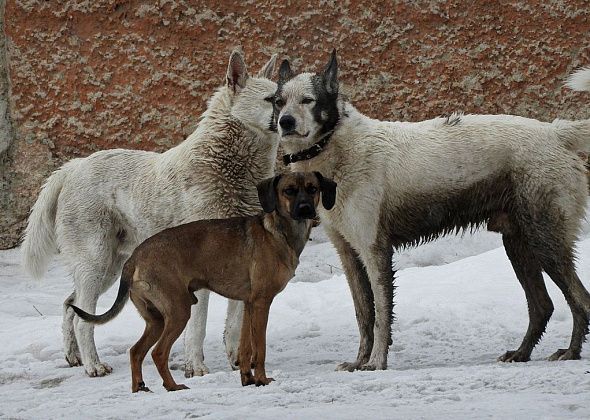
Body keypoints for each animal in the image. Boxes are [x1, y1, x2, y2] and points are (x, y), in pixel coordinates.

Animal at [22, 50, 280, 378]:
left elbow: (234, 325)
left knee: (71, 305)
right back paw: (93, 365)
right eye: (273, 100)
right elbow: (197, 328)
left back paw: (74, 357)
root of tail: (72, 167)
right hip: (96, 264)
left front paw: (237, 363)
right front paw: (196, 369)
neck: (227, 166)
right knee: (82, 319)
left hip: (109, 269)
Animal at [69, 171, 336, 394]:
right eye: (289, 190)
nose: (305, 208)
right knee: (158, 353)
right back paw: (172, 386)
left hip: (156, 320)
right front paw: (261, 379)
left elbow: (245, 348)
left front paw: (247, 379)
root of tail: (134, 258)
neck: (278, 232)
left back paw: (140, 388)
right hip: (178, 311)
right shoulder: (261, 303)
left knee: (136, 352)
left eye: (312, 189)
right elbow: (259, 348)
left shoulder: (249, 305)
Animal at [276, 51, 590, 370]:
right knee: (542, 306)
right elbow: (363, 315)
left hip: (547, 243)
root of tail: (555, 131)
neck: (336, 145)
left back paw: (571, 352)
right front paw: (358, 361)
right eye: (278, 101)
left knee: (580, 300)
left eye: (308, 100)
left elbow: (381, 317)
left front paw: (376, 362)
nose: (284, 122)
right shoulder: (349, 254)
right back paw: (521, 353)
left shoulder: (375, 251)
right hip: (518, 245)